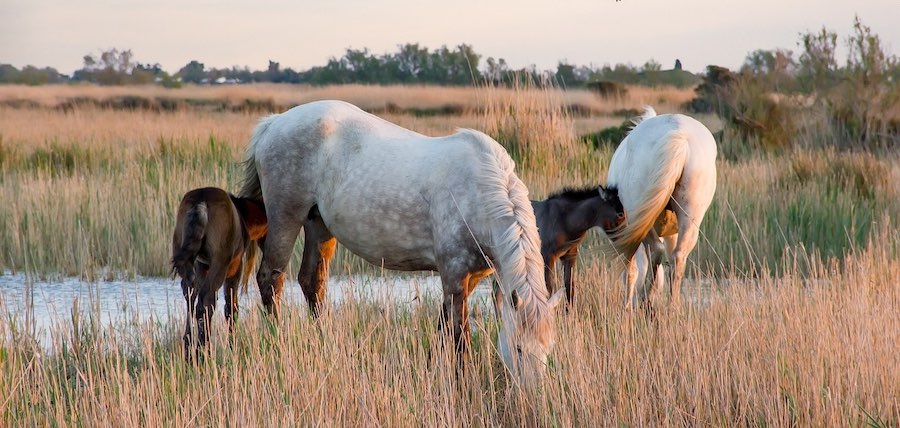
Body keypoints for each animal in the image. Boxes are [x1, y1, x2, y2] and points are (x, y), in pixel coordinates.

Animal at [171, 187, 268, 357]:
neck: (244, 217)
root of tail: (201, 202)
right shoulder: (235, 267)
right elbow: (231, 307)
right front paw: (233, 347)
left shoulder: (202, 266)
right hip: (220, 262)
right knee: (206, 301)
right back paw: (203, 351)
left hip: (185, 256)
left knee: (191, 295)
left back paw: (189, 350)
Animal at [237, 100, 565, 382]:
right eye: (519, 348)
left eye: (548, 349)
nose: (532, 396)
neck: (480, 192)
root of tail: (274, 122)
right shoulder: (454, 275)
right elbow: (459, 334)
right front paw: (463, 379)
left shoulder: (469, 278)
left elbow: (443, 325)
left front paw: (432, 368)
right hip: (286, 217)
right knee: (271, 279)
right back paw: (278, 340)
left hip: (318, 224)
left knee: (312, 282)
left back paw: (323, 340)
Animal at [605, 107, 717, 311]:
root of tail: (680, 136)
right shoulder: (672, 232)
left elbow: (631, 271)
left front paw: (627, 306)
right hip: (690, 218)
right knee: (678, 257)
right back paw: (673, 306)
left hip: (639, 217)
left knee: (655, 251)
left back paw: (646, 300)